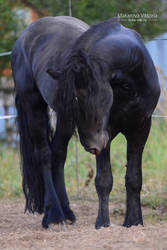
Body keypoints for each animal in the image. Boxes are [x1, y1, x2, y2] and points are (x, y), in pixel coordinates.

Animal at [10, 16, 160, 229]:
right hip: (33, 105)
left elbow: (134, 178)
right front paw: (102, 223)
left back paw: (67, 212)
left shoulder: (140, 129)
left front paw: (134, 221)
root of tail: (25, 36)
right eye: (74, 99)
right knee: (44, 155)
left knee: (58, 154)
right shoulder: (106, 136)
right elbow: (104, 180)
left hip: (64, 121)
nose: (91, 146)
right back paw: (54, 215)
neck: (128, 87)